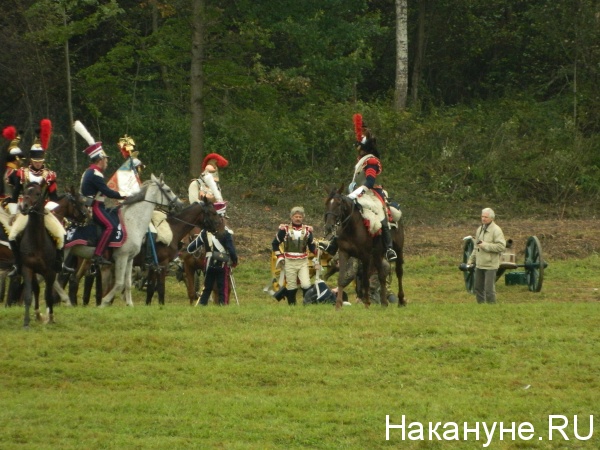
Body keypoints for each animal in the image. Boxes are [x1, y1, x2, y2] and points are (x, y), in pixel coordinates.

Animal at [52, 174, 184, 308]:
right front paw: (104, 302)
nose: (180, 205)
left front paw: (130, 304)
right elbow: (119, 283)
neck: (132, 222)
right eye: (168, 190)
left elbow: (128, 283)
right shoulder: (121, 257)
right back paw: (67, 301)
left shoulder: (130, 259)